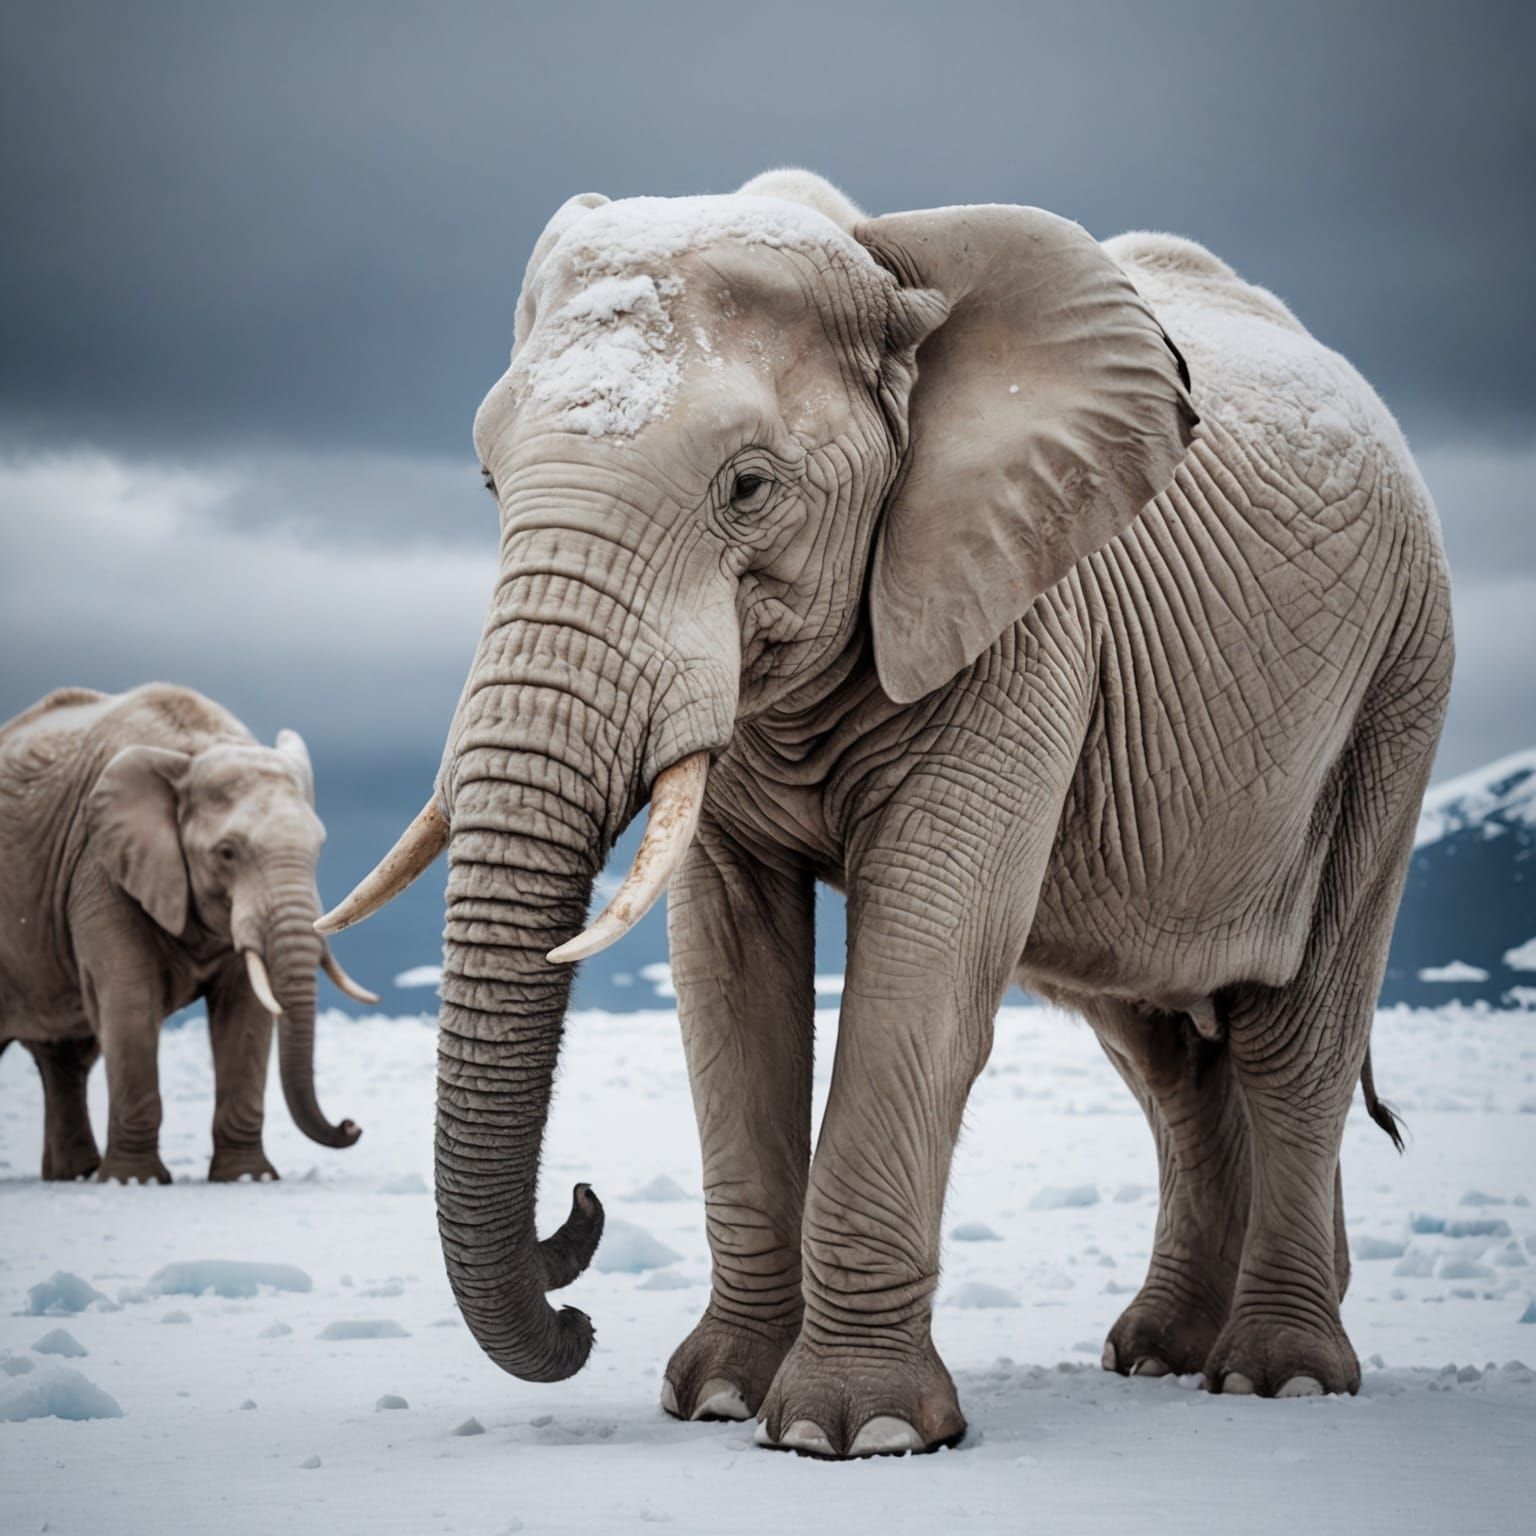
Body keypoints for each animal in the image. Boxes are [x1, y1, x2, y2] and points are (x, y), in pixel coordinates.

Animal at [0, 683, 375, 1183]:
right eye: (227, 853)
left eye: (318, 848)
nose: (352, 1126)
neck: (195, 749)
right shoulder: (99, 866)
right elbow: (130, 999)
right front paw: (133, 1181)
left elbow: (246, 1011)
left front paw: (247, 1178)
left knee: (64, 1058)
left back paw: (74, 1176)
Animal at [321, 169, 1452, 1456]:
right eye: (489, 484)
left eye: (748, 487)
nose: (582, 1228)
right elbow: (728, 979)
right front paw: (720, 1399)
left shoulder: (1022, 618)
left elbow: (926, 959)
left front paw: (852, 1434)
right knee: (1166, 1054)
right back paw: (1159, 1354)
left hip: (1397, 689)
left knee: (1296, 1032)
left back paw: (1279, 1378)